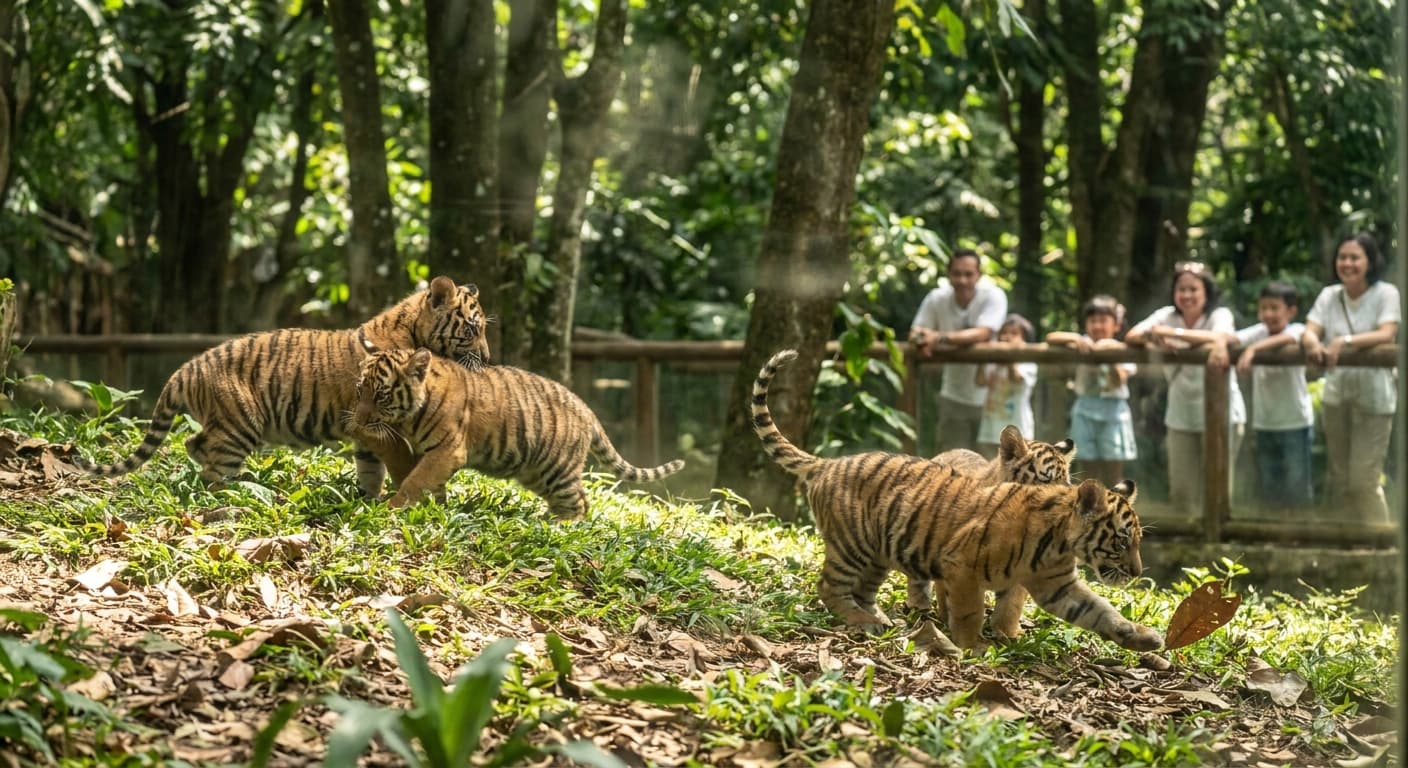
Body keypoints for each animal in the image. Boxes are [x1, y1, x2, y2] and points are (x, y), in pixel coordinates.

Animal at [72, 276, 490, 497]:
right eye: (472, 329)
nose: (486, 357)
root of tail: (187, 368)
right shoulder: (379, 423)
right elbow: (398, 461)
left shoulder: (367, 429)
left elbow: (371, 467)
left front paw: (366, 499)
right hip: (239, 423)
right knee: (213, 472)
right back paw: (240, 493)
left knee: (194, 444)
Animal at [346, 343, 685, 518]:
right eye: (360, 389)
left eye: (381, 395)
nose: (359, 421)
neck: (410, 417)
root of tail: (586, 409)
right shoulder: (429, 453)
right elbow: (428, 482)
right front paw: (436, 508)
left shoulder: (447, 451)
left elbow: (415, 480)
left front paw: (393, 507)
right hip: (536, 473)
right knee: (580, 500)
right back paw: (546, 520)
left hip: (556, 470)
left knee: (577, 502)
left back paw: (557, 526)